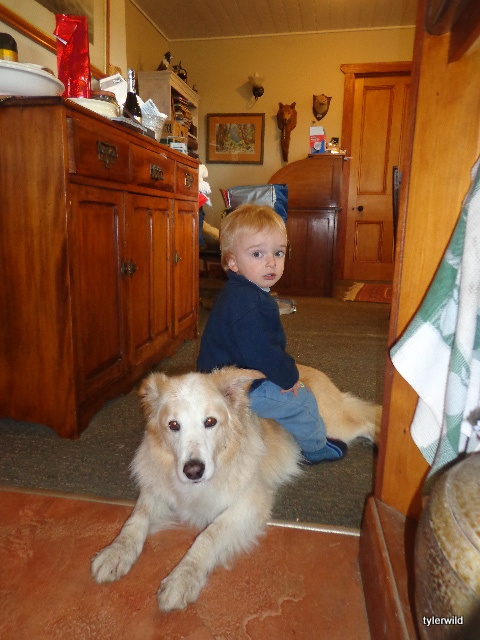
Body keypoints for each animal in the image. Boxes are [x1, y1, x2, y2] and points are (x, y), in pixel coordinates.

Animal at [91, 365, 380, 612]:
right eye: (173, 425)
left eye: (210, 422)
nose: (193, 471)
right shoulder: (156, 491)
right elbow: (136, 520)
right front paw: (115, 553)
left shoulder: (249, 503)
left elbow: (208, 535)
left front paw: (183, 579)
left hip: (336, 425)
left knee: (366, 422)